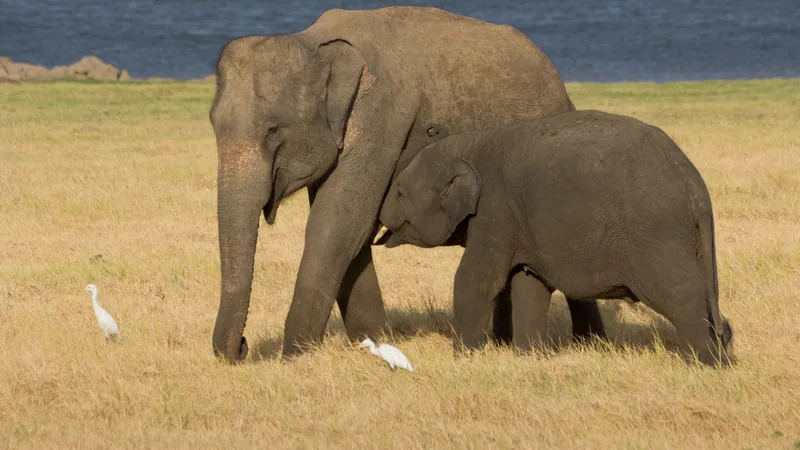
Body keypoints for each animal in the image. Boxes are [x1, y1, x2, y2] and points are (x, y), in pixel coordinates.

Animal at [209, 6, 606, 362]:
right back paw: (505, 343)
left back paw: (589, 344)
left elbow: (336, 225)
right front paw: (374, 343)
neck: (314, 41)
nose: (242, 347)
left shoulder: (382, 118)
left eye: (273, 130)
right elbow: (355, 233)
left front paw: (295, 356)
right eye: (213, 124)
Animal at [379, 111, 735, 366]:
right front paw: (530, 357)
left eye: (400, 192)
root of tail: (693, 183)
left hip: (655, 233)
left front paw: (463, 359)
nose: (380, 219)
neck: (470, 145)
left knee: (678, 292)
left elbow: (477, 279)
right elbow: (528, 283)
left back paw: (705, 363)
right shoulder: (519, 223)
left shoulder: (494, 211)